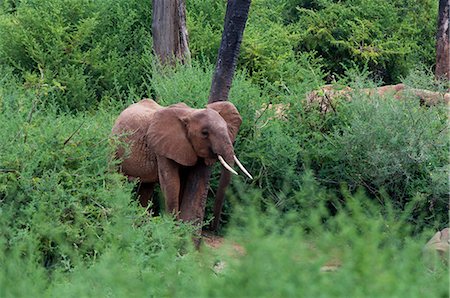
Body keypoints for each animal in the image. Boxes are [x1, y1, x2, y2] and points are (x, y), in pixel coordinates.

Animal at [110, 99, 251, 222]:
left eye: (227, 128)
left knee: (146, 187)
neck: (190, 113)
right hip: (114, 148)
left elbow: (183, 181)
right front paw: (173, 226)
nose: (212, 226)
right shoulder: (161, 147)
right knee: (114, 176)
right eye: (205, 133)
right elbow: (172, 182)